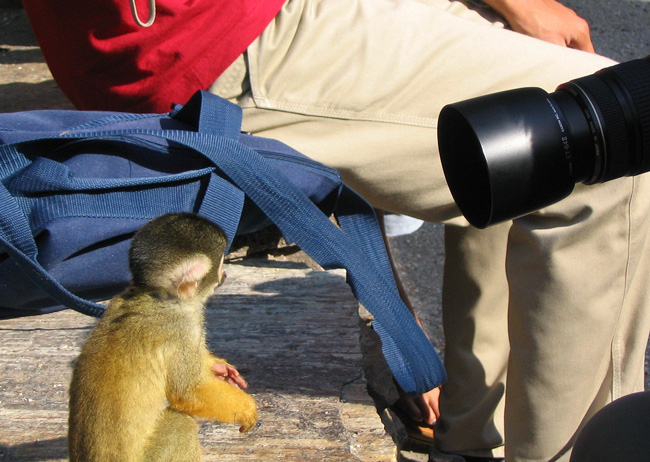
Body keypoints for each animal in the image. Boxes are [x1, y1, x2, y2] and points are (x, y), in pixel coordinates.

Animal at [67, 214, 256, 462]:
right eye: (221, 264)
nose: (224, 274)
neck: (155, 297)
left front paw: (218, 367)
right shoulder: (182, 328)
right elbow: (188, 390)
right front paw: (246, 409)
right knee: (182, 424)